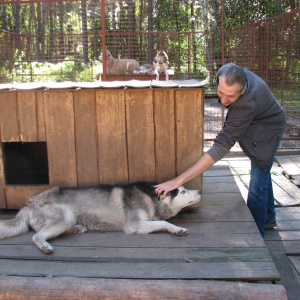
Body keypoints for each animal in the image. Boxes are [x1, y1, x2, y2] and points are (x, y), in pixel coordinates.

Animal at [0, 182, 202, 254]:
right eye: (183, 191)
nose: (199, 191)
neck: (150, 197)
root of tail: (30, 203)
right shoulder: (135, 225)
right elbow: (163, 221)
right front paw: (176, 229)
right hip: (64, 217)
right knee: (36, 236)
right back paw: (45, 246)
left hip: (67, 219)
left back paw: (79, 228)